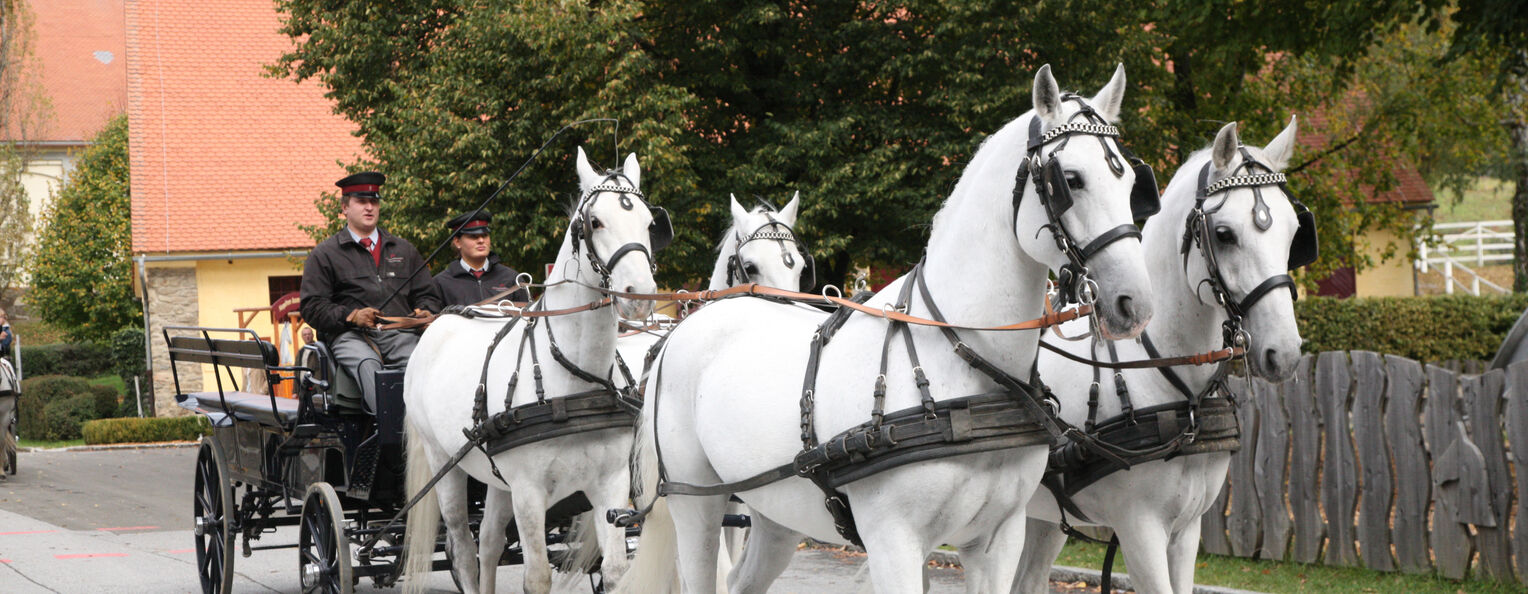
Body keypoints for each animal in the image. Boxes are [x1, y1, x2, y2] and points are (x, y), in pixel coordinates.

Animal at [406, 145, 663, 589]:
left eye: (649, 222)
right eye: (595, 221)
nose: (640, 295)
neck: (573, 382)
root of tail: (438, 324)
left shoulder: (610, 485)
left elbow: (614, 570)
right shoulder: (528, 491)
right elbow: (537, 577)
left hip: (496, 477)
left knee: (489, 541)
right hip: (445, 465)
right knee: (464, 551)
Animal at [614, 64, 1149, 592]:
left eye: (1130, 183)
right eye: (1070, 180)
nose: (1135, 302)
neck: (965, 366)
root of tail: (681, 330)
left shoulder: (998, 539)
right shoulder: (894, 541)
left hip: (774, 511)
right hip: (697, 504)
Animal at [1008, 116, 1307, 592]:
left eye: (1295, 234)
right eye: (1224, 234)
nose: (1286, 352)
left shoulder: (1186, 531)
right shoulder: (1139, 530)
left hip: (1043, 520)